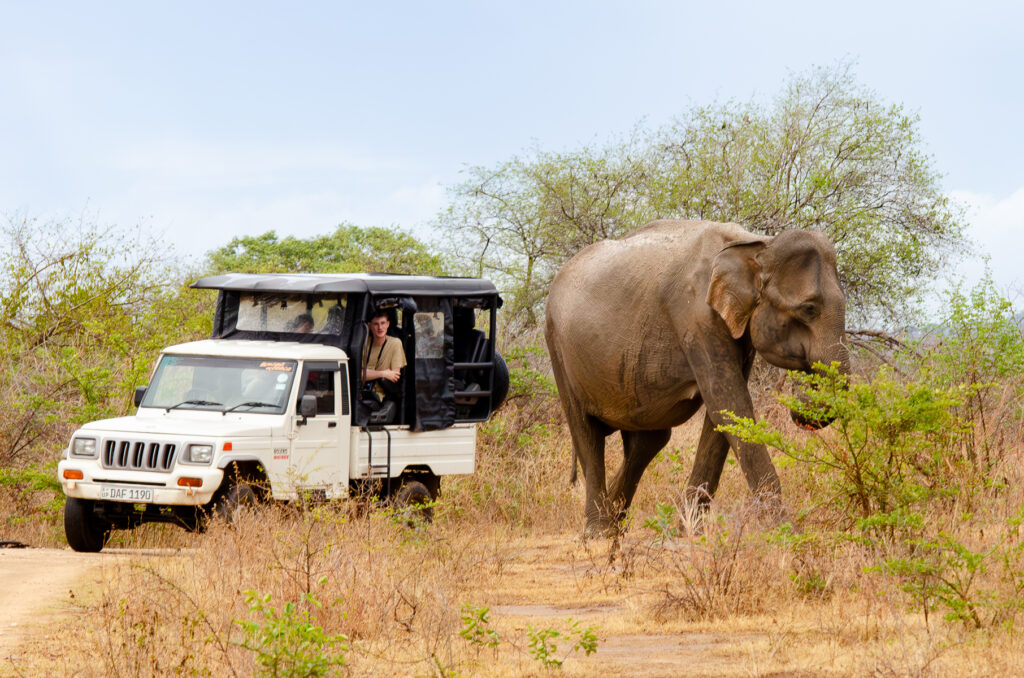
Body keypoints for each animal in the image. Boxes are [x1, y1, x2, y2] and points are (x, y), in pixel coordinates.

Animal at [544, 220, 849, 536]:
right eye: (809, 309)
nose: (800, 385)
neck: (757, 245)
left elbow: (722, 416)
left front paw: (688, 534)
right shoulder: (696, 316)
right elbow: (729, 403)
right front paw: (787, 533)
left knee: (647, 442)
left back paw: (616, 524)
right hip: (557, 346)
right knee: (587, 432)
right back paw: (599, 533)